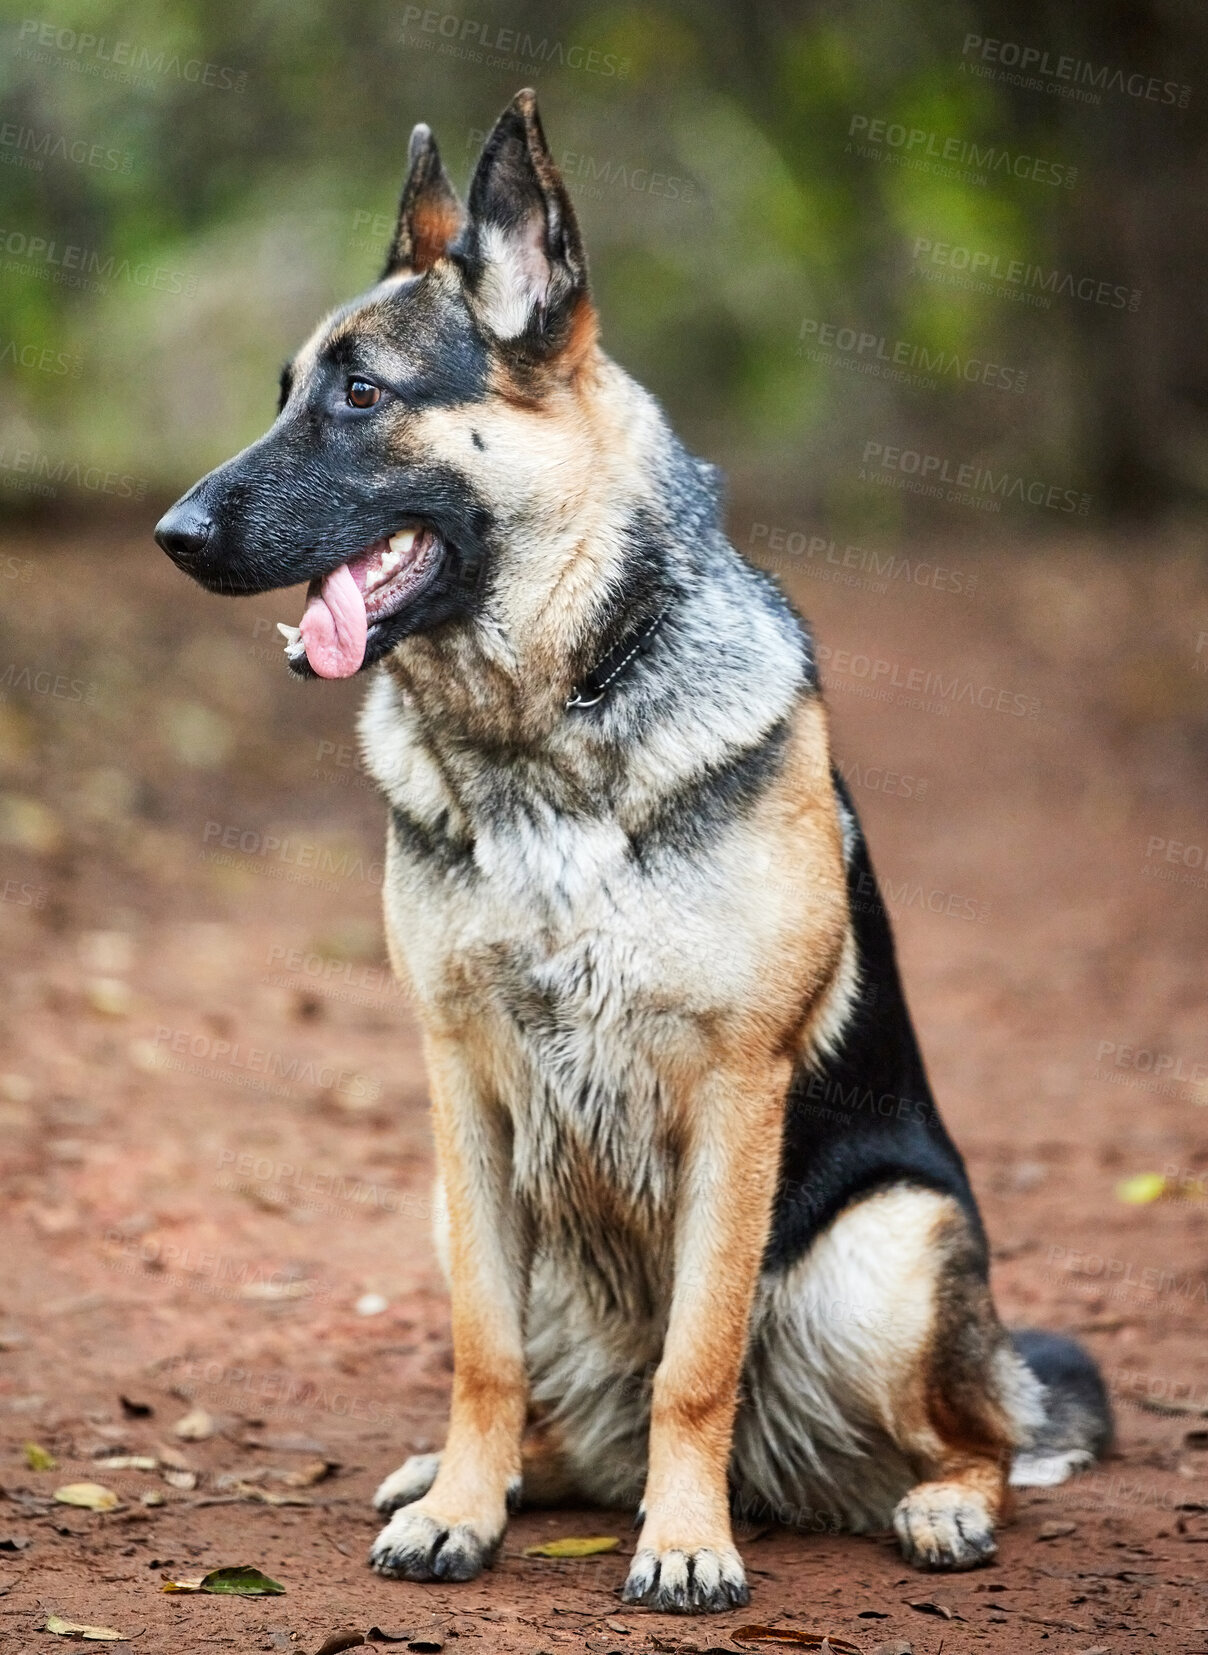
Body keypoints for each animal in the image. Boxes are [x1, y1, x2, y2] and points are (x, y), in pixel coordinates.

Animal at [155, 93, 1105, 1615]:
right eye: (287, 388)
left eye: (361, 394)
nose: (171, 534)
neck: (542, 735)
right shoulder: (462, 1085)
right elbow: (482, 1346)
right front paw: (463, 1507)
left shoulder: (734, 1089)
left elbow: (696, 1361)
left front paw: (684, 1539)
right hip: (457, 1206)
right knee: (562, 1411)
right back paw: (477, 1472)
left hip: (886, 1246)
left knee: (983, 1434)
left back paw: (937, 1503)